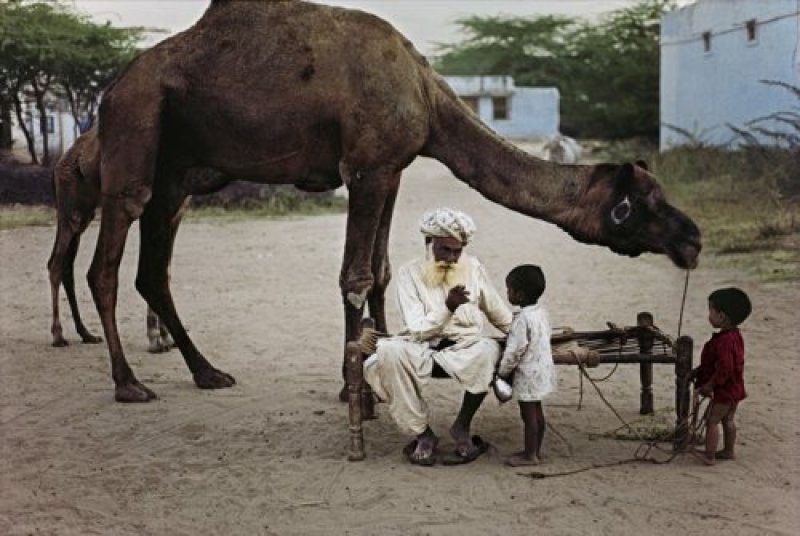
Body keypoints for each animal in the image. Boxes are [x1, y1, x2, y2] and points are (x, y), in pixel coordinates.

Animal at [47, 125, 230, 352]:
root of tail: (63, 158)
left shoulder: (177, 213)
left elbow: (166, 271)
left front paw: (166, 338)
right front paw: (155, 339)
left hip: (85, 213)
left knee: (66, 266)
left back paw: (87, 334)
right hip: (71, 211)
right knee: (56, 263)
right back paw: (58, 336)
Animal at [89, 0, 700, 402]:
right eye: (638, 206)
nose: (692, 239)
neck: (427, 93)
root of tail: (113, 86)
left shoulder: (393, 170)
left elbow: (382, 270)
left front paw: (380, 363)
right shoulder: (366, 166)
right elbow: (356, 276)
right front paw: (350, 385)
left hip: (177, 172)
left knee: (153, 271)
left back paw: (207, 372)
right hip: (136, 126)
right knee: (109, 258)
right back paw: (128, 383)